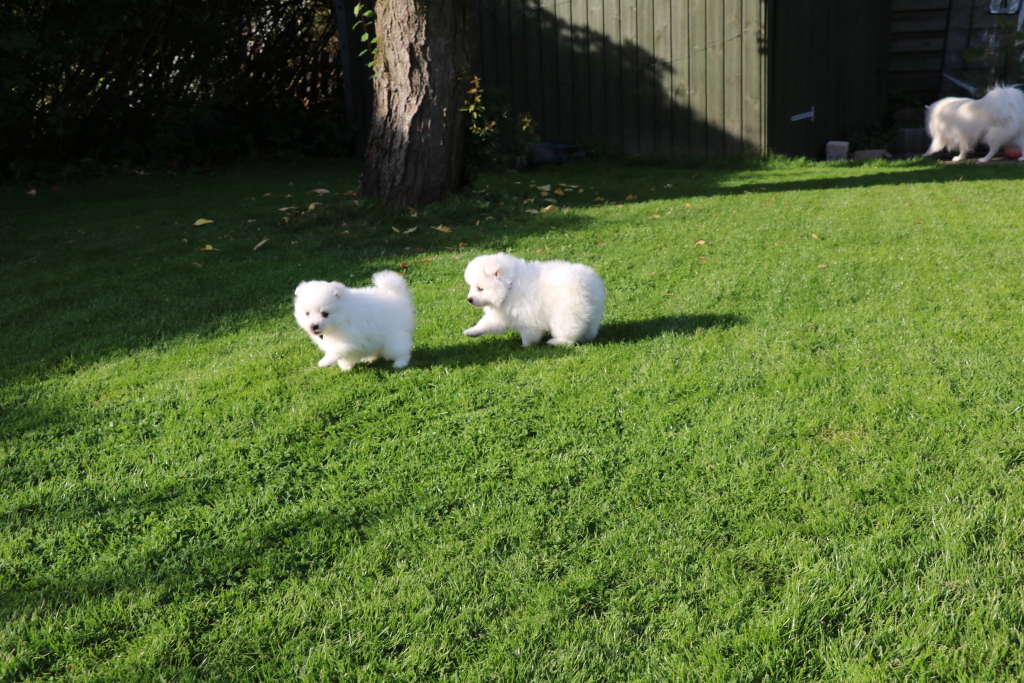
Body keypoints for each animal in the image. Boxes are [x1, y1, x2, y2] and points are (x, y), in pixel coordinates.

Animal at [463, 252, 605, 347]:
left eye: (480, 288)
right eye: (472, 287)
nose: (469, 299)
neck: (510, 288)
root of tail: (587, 286)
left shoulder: (528, 316)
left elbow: (529, 334)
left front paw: (526, 346)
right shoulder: (502, 315)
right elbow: (486, 323)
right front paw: (471, 332)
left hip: (565, 314)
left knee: (568, 332)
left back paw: (556, 342)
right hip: (591, 314)